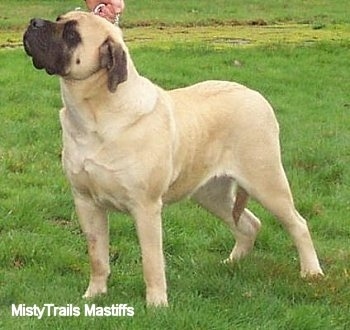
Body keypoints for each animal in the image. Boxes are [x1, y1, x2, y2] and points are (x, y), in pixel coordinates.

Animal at [22, 12, 322, 306]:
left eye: (72, 34)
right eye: (59, 19)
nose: (33, 22)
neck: (95, 114)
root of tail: (254, 94)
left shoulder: (145, 207)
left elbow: (152, 261)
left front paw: (156, 304)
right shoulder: (85, 202)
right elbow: (98, 257)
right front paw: (94, 295)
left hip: (266, 180)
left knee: (297, 224)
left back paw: (311, 272)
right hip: (210, 193)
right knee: (249, 224)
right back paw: (231, 263)